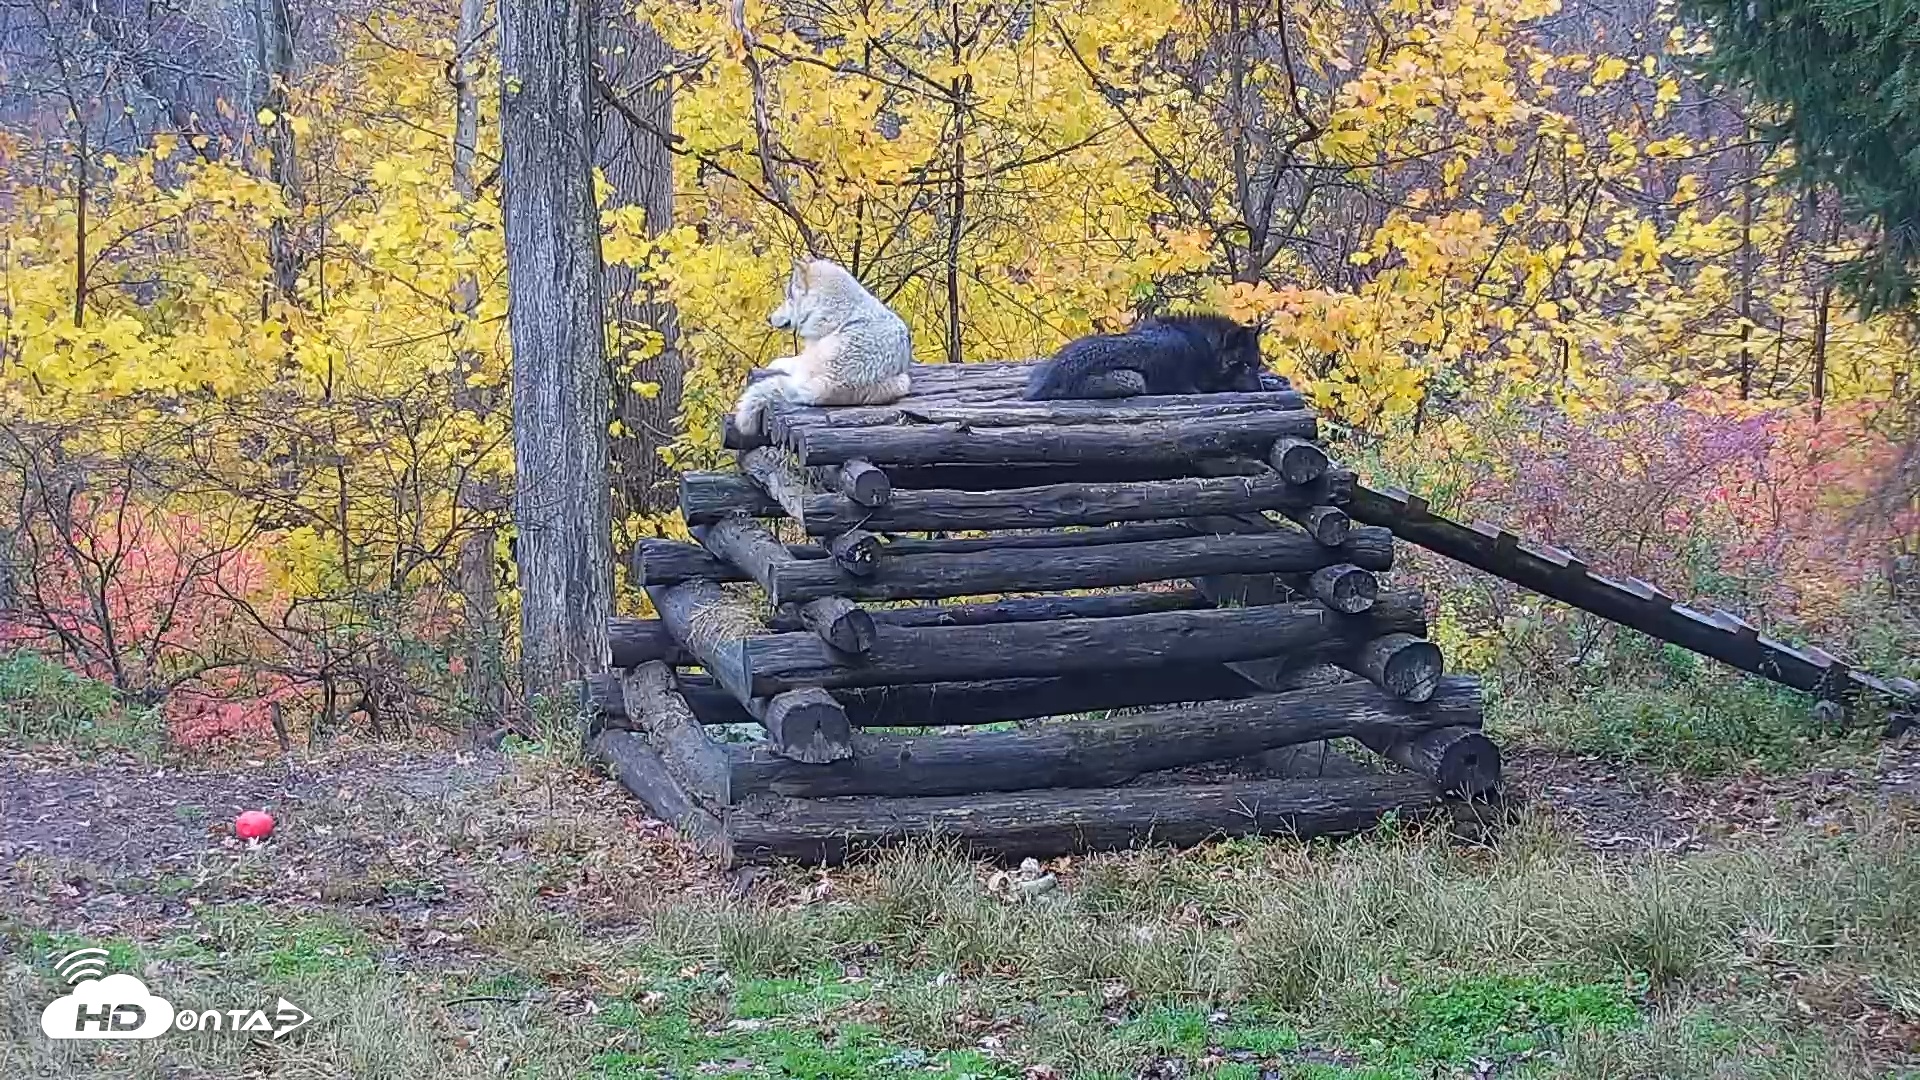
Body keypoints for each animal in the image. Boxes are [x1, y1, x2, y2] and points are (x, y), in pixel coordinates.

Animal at [732, 259, 914, 435]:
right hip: (901, 382)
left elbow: (787, 361)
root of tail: (830, 384)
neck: (830, 307)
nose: (768, 318)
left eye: (789, 298)